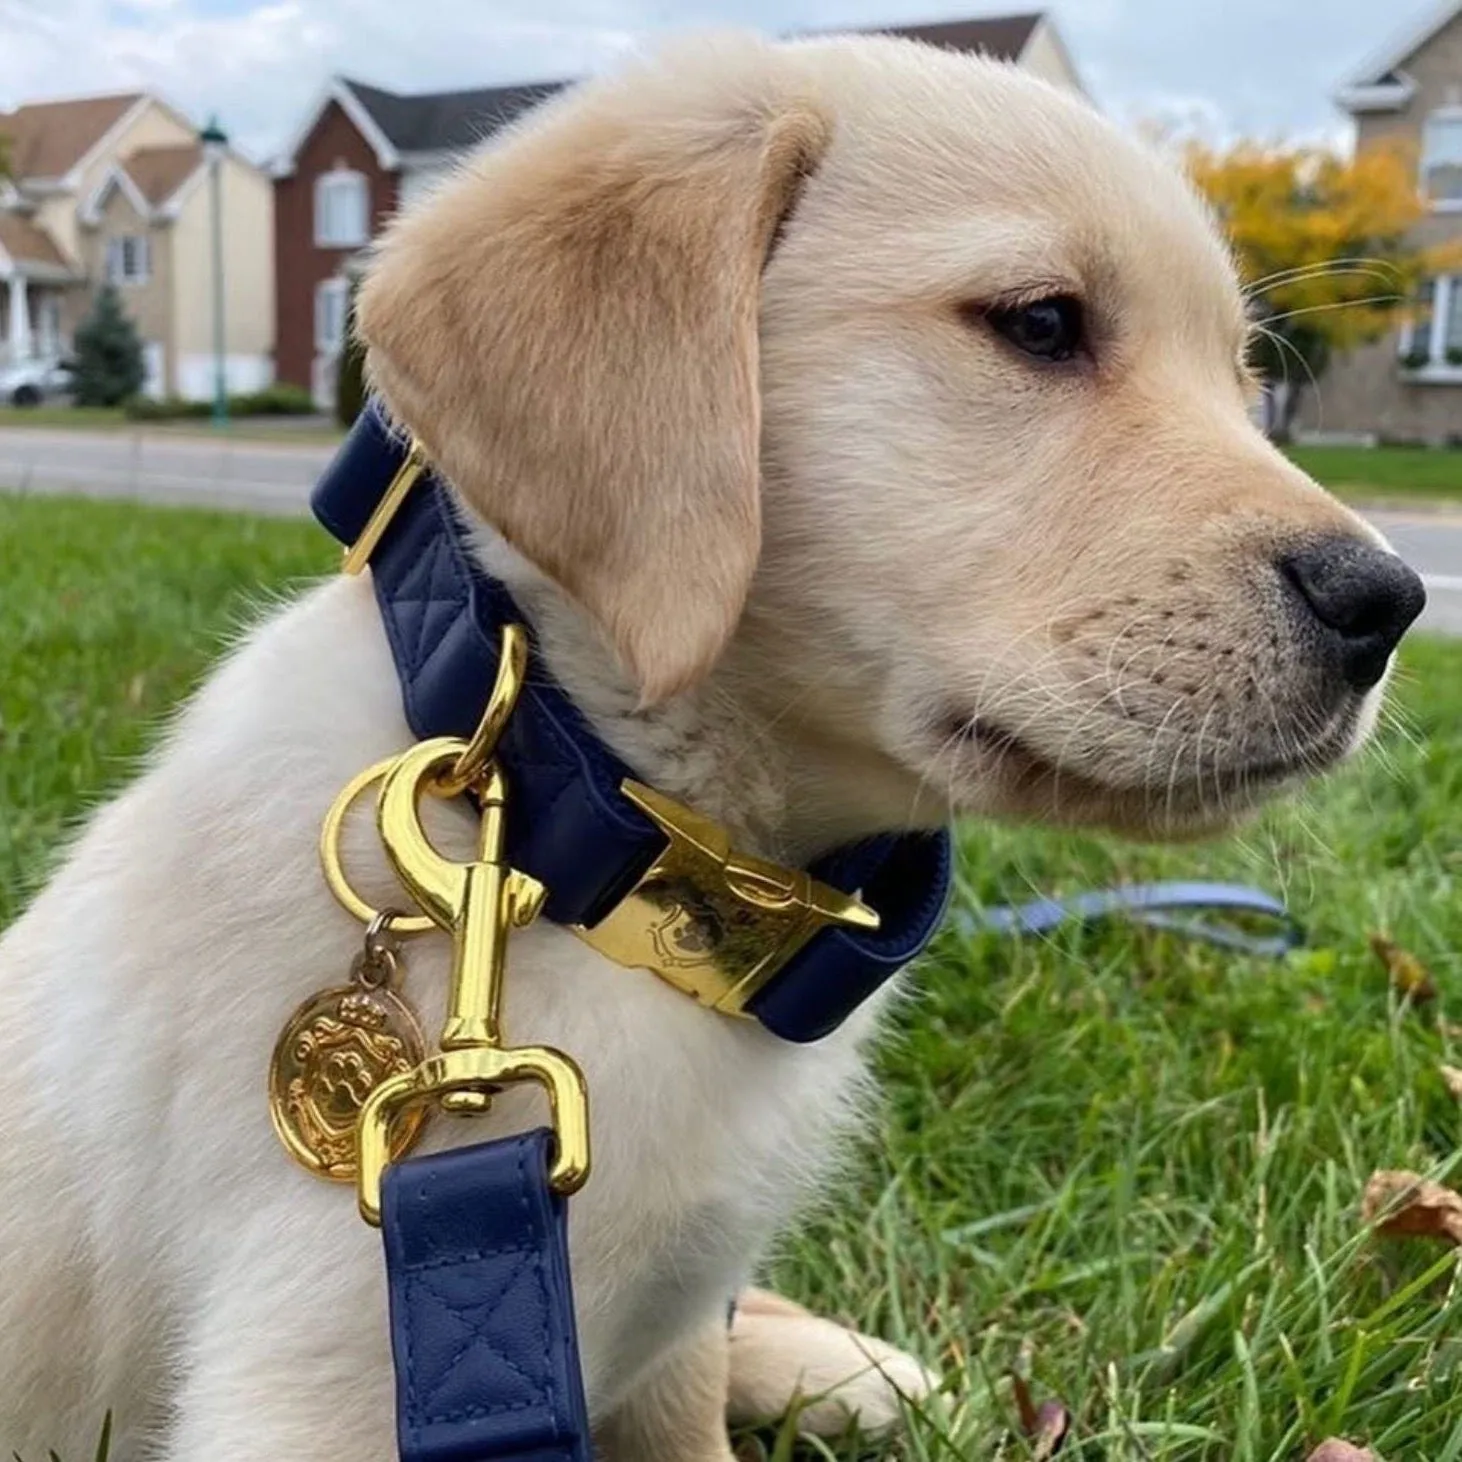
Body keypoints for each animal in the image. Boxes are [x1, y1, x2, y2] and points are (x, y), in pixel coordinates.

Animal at [0, 25, 1421, 1462]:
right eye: (1039, 322)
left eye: (1246, 376)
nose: (1390, 605)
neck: (585, 838)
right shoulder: (321, 1372)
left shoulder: (661, 1329)